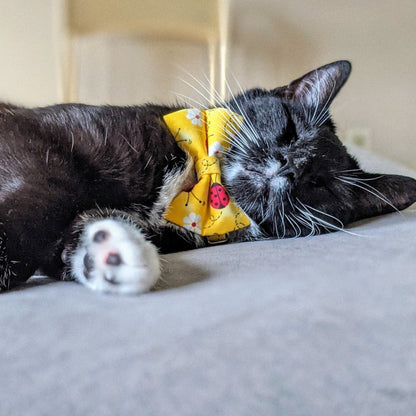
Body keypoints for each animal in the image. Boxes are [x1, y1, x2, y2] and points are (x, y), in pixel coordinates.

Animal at [0, 60, 414, 294]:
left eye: (319, 184)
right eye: (290, 129)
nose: (288, 165)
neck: (195, 187)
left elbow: (70, 239)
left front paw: (115, 254)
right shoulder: (33, 137)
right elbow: (42, 195)